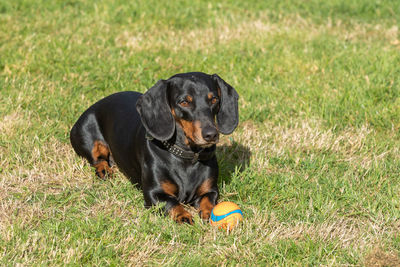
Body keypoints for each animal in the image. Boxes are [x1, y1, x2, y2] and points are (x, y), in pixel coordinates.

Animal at [69, 72, 238, 225]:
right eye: (184, 102)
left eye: (214, 99)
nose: (211, 135)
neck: (186, 156)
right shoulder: (154, 193)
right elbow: (172, 203)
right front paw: (183, 216)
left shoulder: (211, 190)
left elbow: (208, 201)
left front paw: (210, 213)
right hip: (87, 135)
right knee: (97, 159)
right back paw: (104, 170)